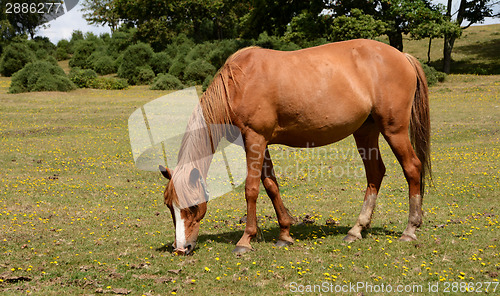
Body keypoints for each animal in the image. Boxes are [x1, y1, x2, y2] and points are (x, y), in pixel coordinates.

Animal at [159, 39, 430, 254]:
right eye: (169, 207)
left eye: (193, 206)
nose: (181, 248)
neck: (238, 84)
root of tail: (402, 56)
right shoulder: (260, 143)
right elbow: (271, 186)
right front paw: (285, 233)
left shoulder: (255, 139)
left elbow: (252, 189)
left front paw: (246, 240)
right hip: (366, 131)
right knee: (375, 173)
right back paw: (357, 230)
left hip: (394, 130)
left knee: (412, 168)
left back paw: (410, 229)